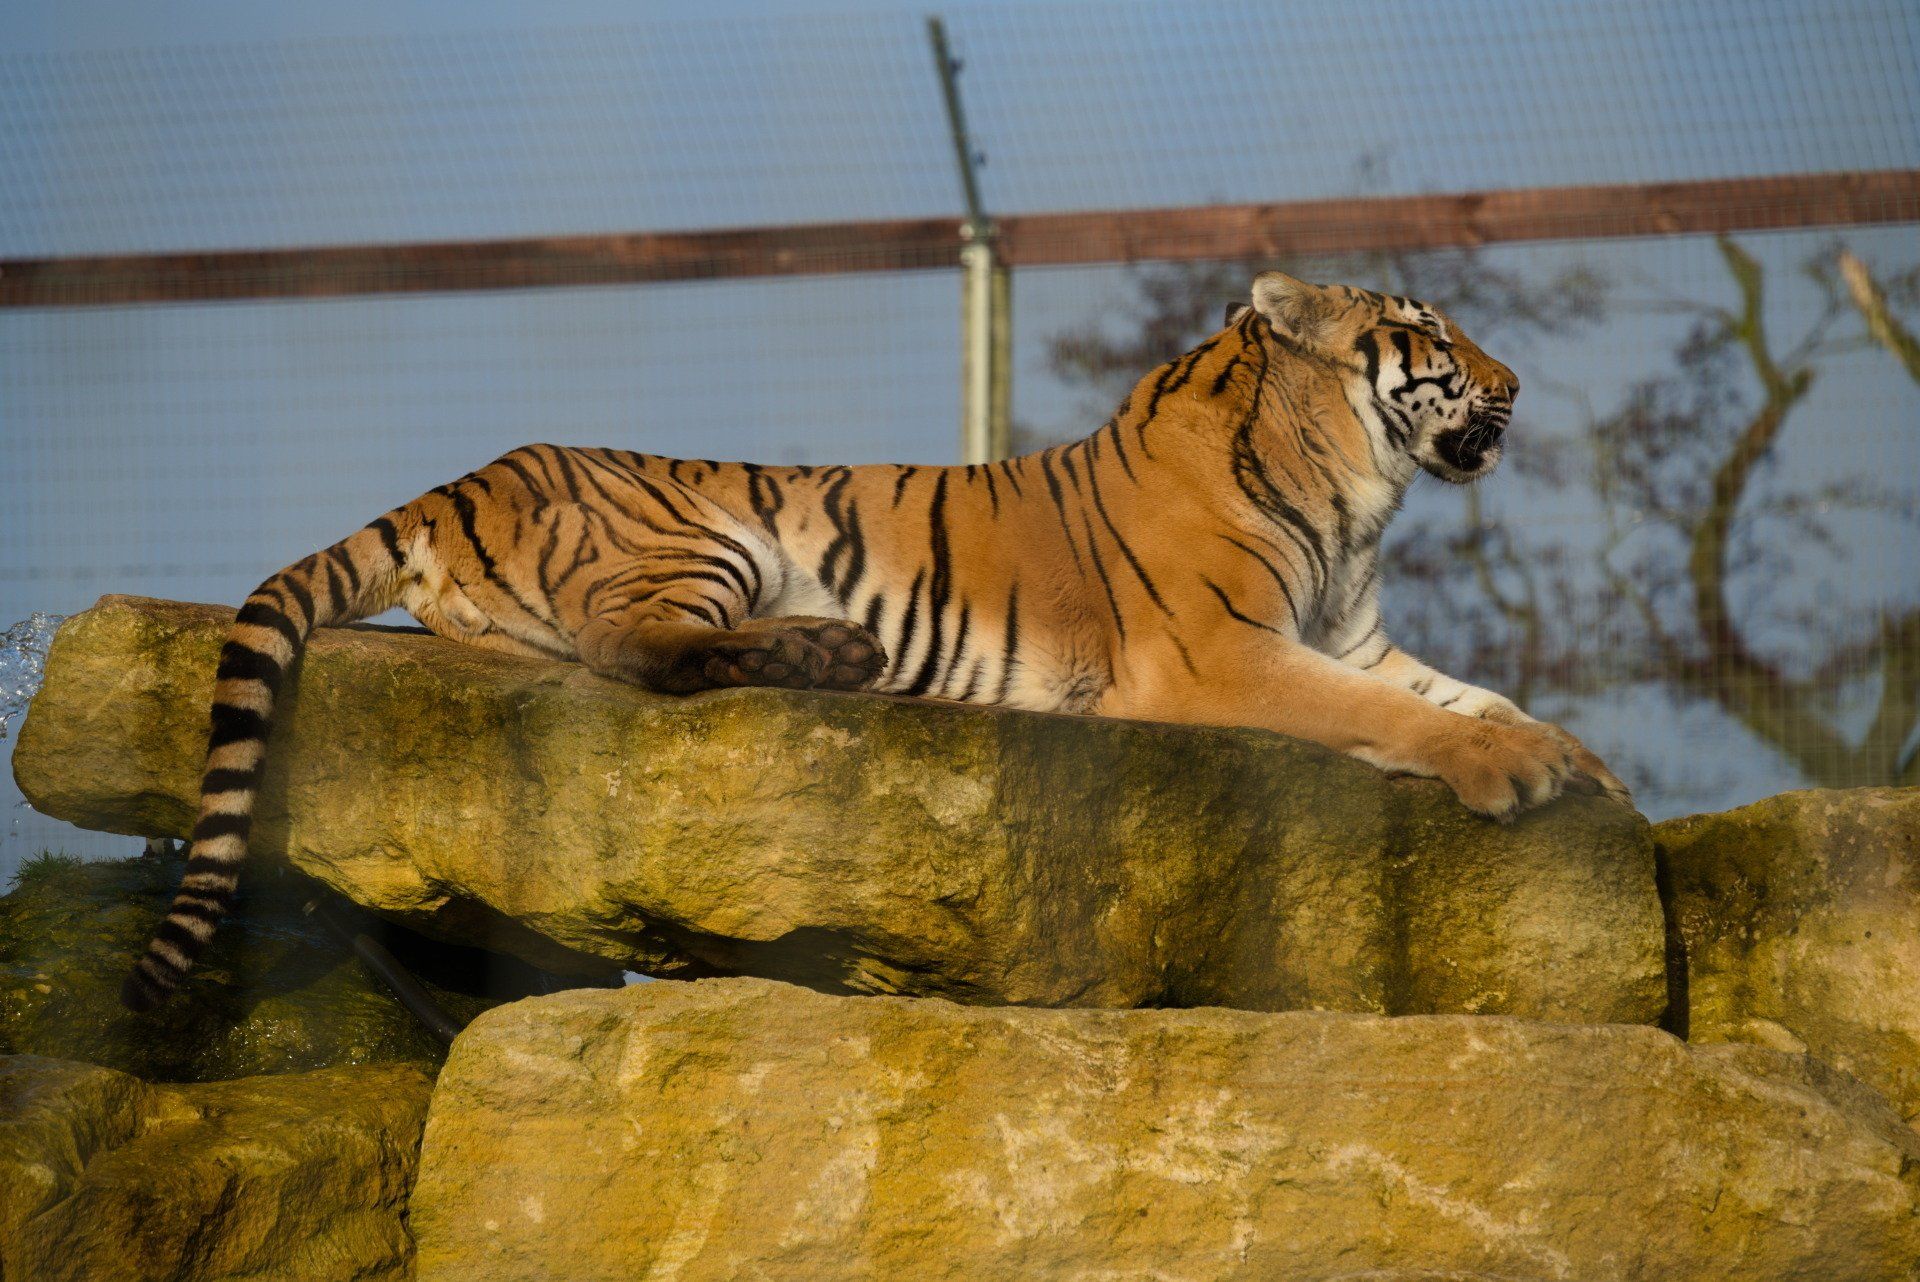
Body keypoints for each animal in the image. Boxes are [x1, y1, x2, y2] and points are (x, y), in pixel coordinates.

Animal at [121, 270, 1630, 1011]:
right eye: (1430, 336)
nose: (1512, 387)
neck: (1353, 492)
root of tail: (466, 476)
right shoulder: (1226, 654)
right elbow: (1412, 722)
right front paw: (1514, 779)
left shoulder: (1355, 640)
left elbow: (1478, 693)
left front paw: (1588, 765)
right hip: (704, 534)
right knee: (643, 659)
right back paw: (834, 655)